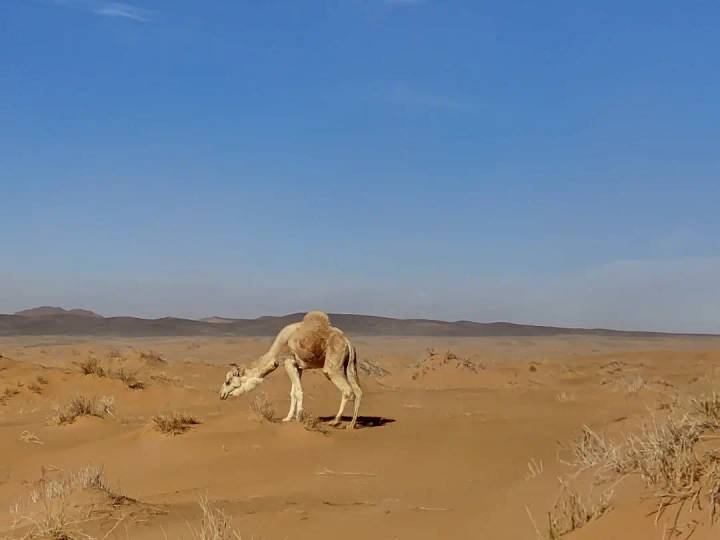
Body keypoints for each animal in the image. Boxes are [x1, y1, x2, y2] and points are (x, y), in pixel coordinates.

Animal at [219, 311, 363, 429]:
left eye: (228, 381)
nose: (221, 395)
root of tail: (347, 342)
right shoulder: (298, 366)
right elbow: (293, 392)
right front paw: (287, 418)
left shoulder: (288, 362)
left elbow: (298, 391)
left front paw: (299, 418)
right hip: (349, 365)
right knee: (358, 391)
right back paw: (351, 424)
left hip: (333, 366)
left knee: (347, 390)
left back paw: (335, 421)